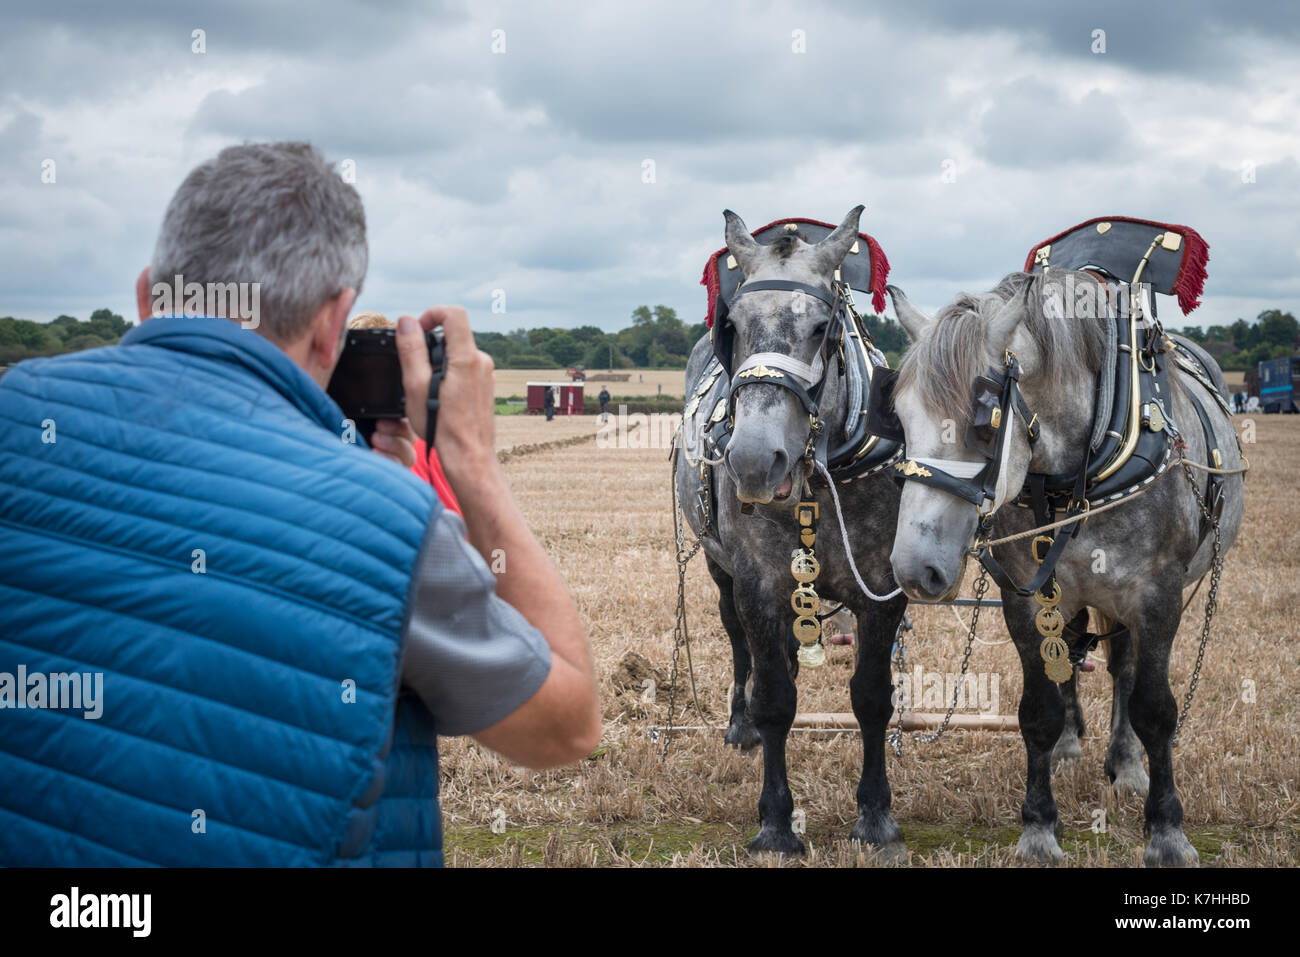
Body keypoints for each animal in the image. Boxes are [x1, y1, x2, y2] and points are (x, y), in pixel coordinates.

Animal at [676, 208, 909, 852]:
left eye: (821, 328)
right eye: (733, 326)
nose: (756, 462)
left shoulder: (881, 592)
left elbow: (872, 699)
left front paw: (875, 816)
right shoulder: (757, 585)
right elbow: (775, 700)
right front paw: (776, 823)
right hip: (723, 571)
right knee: (741, 647)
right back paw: (741, 728)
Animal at [889, 270, 1242, 868]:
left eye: (984, 427)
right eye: (900, 415)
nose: (915, 569)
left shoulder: (1157, 597)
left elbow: (1154, 709)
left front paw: (1167, 831)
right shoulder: (1027, 600)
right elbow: (1039, 709)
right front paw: (1038, 827)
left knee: (1123, 671)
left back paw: (1126, 765)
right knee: (1072, 654)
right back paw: (1070, 746)